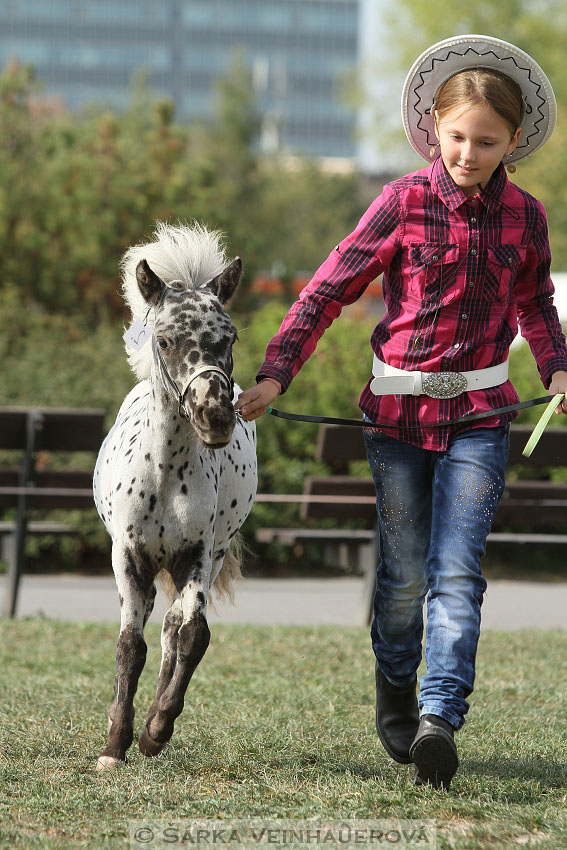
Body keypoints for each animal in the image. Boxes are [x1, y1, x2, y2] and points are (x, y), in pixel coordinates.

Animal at [94, 222, 258, 764]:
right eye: (164, 340)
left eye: (230, 337)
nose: (216, 417)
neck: (165, 474)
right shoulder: (129, 557)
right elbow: (129, 645)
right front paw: (114, 745)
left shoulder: (197, 554)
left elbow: (192, 636)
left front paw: (155, 730)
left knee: (171, 629)